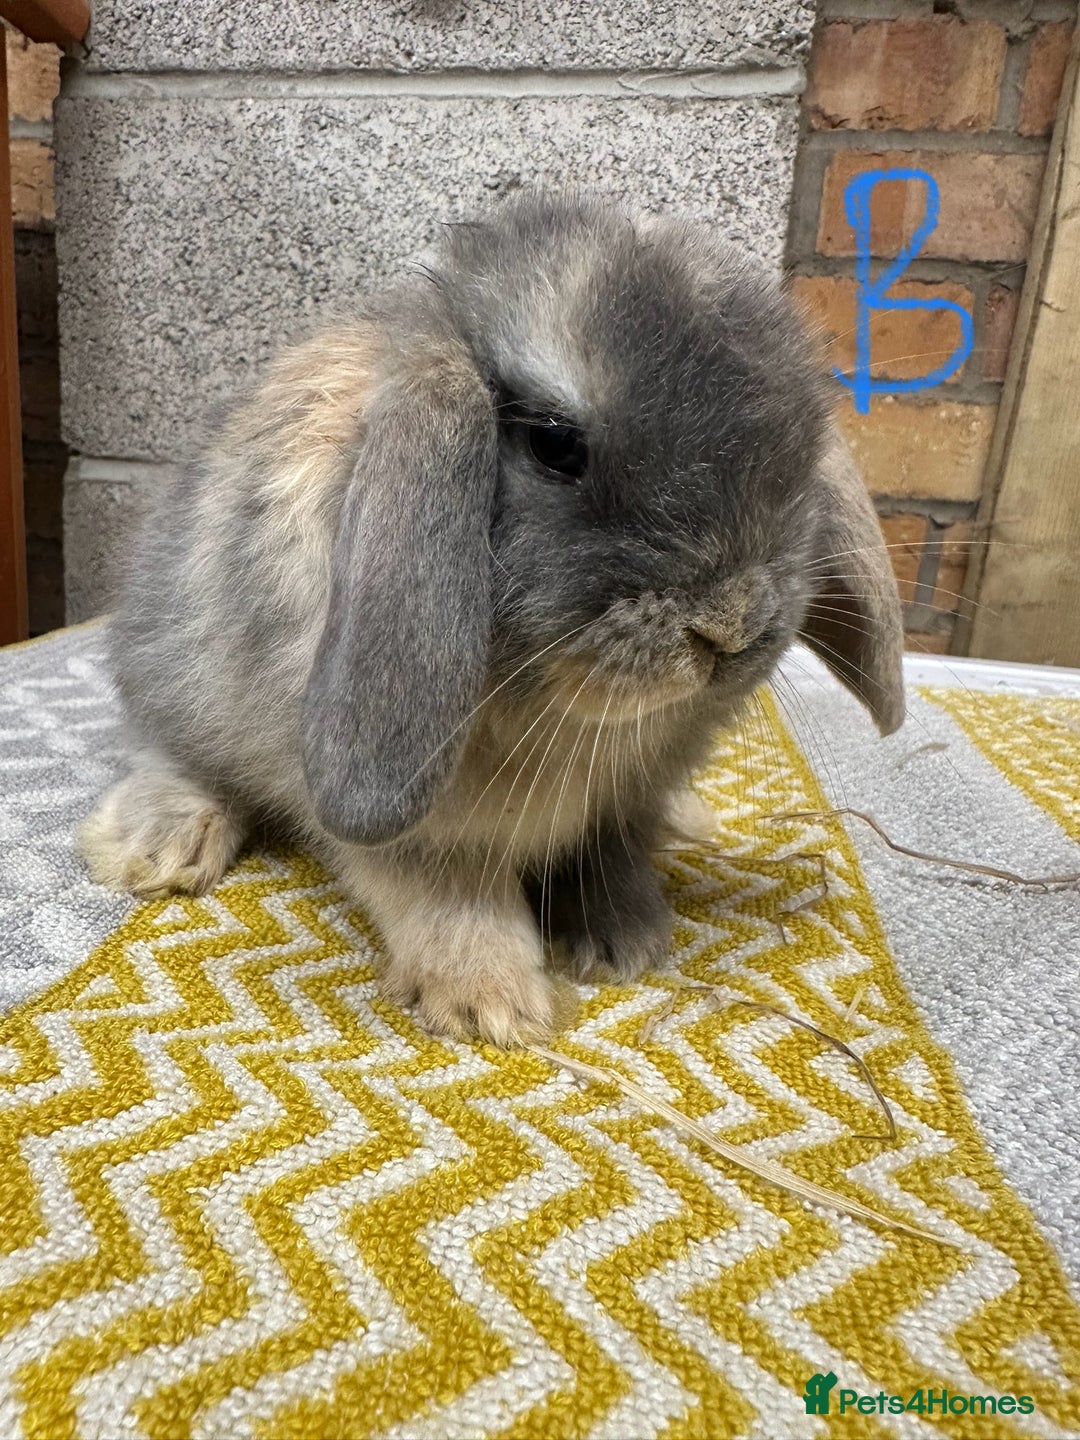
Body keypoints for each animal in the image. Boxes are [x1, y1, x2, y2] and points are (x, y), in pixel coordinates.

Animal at [80, 191, 904, 1046]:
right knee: (179, 753)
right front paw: (493, 1003)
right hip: (185, 673)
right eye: (555, 443)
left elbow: (611, 848)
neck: (576, 721)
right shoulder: (416, 822)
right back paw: (158, 846)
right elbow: (449, 891)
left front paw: (624, 940)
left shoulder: (624, 800)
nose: (729, 627)